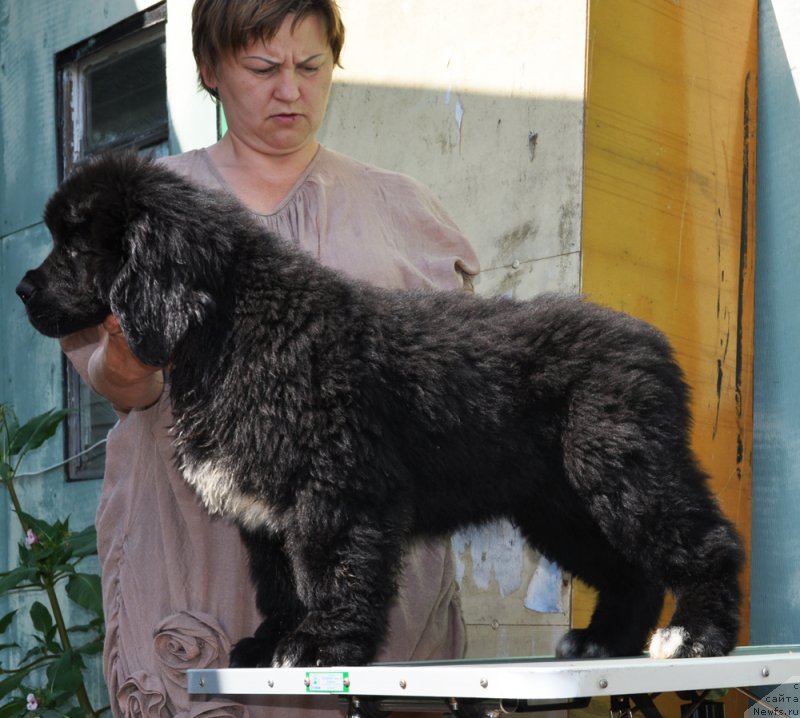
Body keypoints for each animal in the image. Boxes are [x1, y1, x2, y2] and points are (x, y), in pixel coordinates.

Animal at [17, 155, 744, 672]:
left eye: (75, 247)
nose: (22, 289)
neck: (235, 324)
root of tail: (648, 341)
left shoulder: (338, 488)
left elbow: (329, 574)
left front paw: (319, 647)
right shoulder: (268, 512)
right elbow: (280, 582)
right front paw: (273, 642)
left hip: (621, 468)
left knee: (705, 542)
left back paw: (695, 635)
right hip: (560, 504)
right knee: (630, 570)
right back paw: (604, 642)